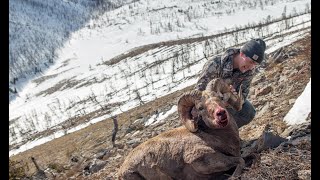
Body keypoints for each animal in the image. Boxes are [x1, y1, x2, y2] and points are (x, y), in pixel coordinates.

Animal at [117, 78, 245, 179]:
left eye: (220, 98)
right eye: (200, 108)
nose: (221, 113)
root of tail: (121, 172)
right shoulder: (203, 160)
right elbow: (240, 160)